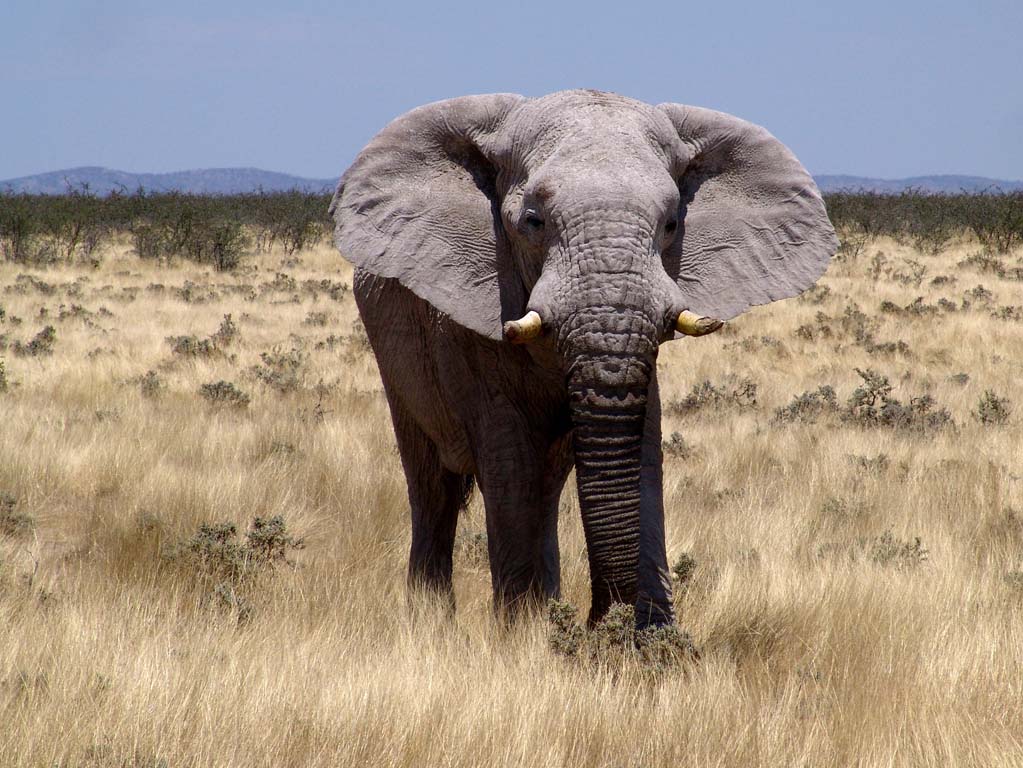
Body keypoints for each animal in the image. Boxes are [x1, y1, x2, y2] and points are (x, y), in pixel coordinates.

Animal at [331, 91, 834, 629]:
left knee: (544, 487)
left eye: (671, 225)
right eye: (532, 222)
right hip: (391, 350)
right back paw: (435, 621)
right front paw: (524, 635)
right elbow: (511, 463)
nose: (599, 621)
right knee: (434, 485)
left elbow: (642, 449)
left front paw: (647, 641)